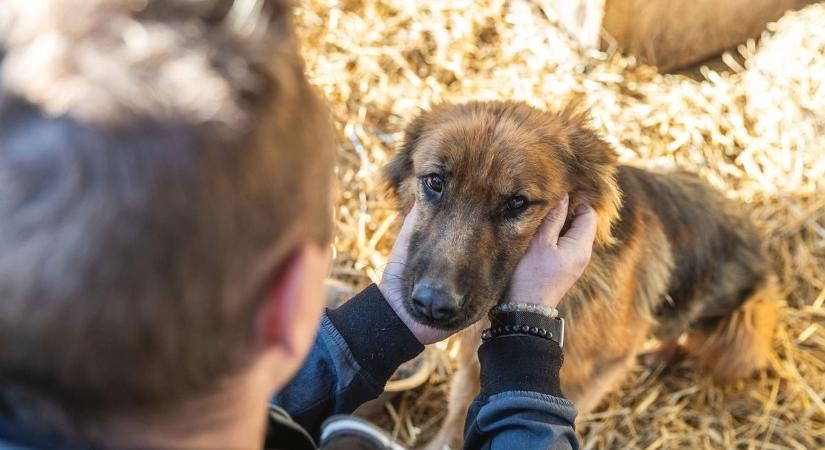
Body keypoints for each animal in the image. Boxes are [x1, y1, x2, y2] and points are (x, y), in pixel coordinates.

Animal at [384, 100, 780, 448]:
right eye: (435, 182)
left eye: (517, 203)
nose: (432, 305)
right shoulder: (472, 363)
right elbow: (457, 417)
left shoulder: (597, 372)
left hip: (740, 331)